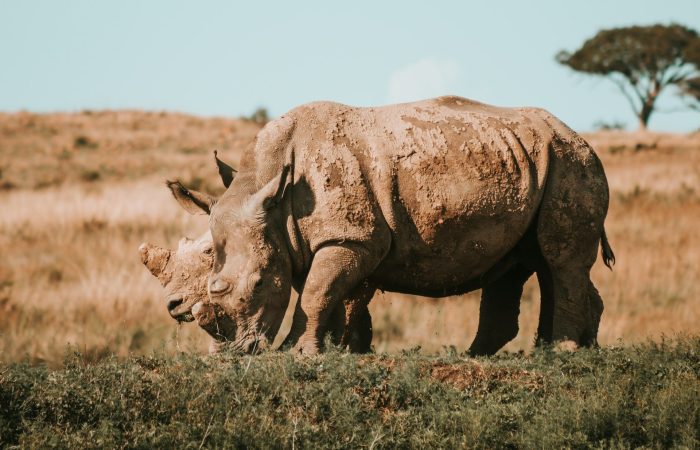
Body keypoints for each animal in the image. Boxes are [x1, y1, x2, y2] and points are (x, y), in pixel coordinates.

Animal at [168, 96, 612, 356]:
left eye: (259, 283)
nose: (234, 352)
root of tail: (579, 136)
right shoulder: (311, 241)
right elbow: (328, 294)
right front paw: (339, 352)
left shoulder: (351, 238)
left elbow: (315, 293)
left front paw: (296, 353)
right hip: (532, 160)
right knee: (526, 262)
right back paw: (527, 353)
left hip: (570, 163)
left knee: (559, 259)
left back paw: (562, 352)